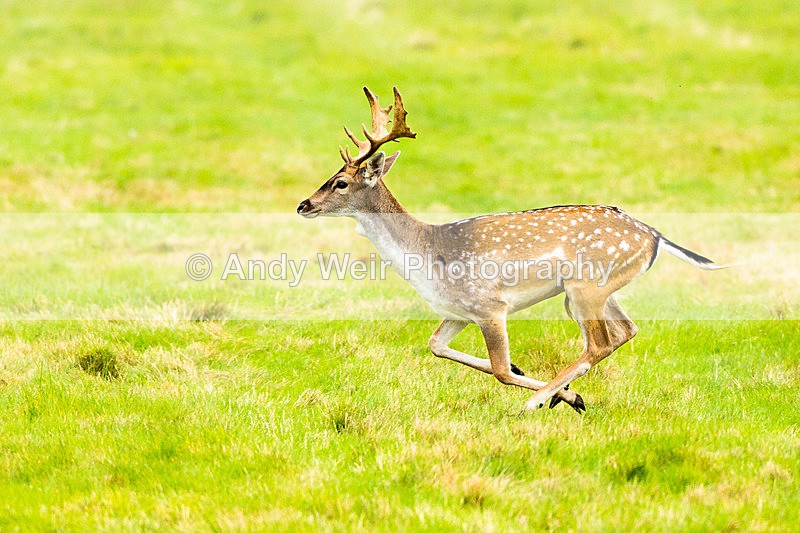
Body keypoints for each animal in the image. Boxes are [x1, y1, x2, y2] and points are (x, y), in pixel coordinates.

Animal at [297, 87, 727, 413]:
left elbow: (501, 370)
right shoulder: (459, 311)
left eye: (340, 183)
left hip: (585, 285)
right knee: (626, 330)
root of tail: (655, 235)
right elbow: (436, 346)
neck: (427, 256)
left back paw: (538, 402)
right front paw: (557, 389)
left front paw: (555, 394)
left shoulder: (489, 306)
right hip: (598, 290)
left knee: (599, 342)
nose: (304, 205)